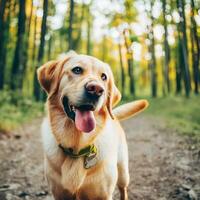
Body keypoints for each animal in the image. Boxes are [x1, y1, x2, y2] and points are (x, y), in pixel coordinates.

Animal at [37, 51, 148, 200]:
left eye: (104, 77)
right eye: (77, 70)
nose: (96, 89)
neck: (77, 147)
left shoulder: (103, 194)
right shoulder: (59, 194)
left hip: (123, 172)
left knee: (123, 189)